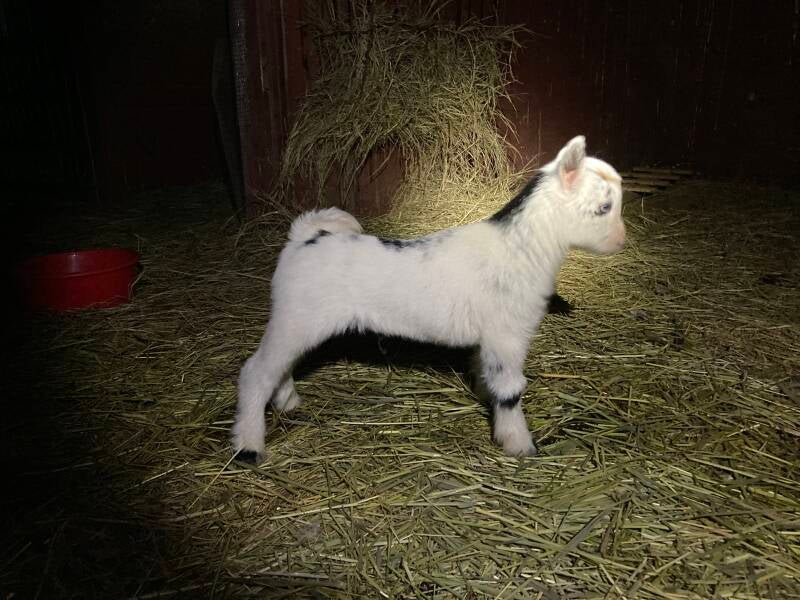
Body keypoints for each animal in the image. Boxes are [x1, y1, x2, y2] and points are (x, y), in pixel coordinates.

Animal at [232, 136, 625, 461]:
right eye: (604, 207)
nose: (621, 241)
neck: (520, 249)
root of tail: (303, 238)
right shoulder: (508, 337)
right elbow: (510, 391)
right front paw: (520, 444)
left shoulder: (490, 340)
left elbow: (486, 377)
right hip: (296, 317)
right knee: (256, 372)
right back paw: (249, 446)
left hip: (297, 322)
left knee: (280, 366)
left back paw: (288, 403)